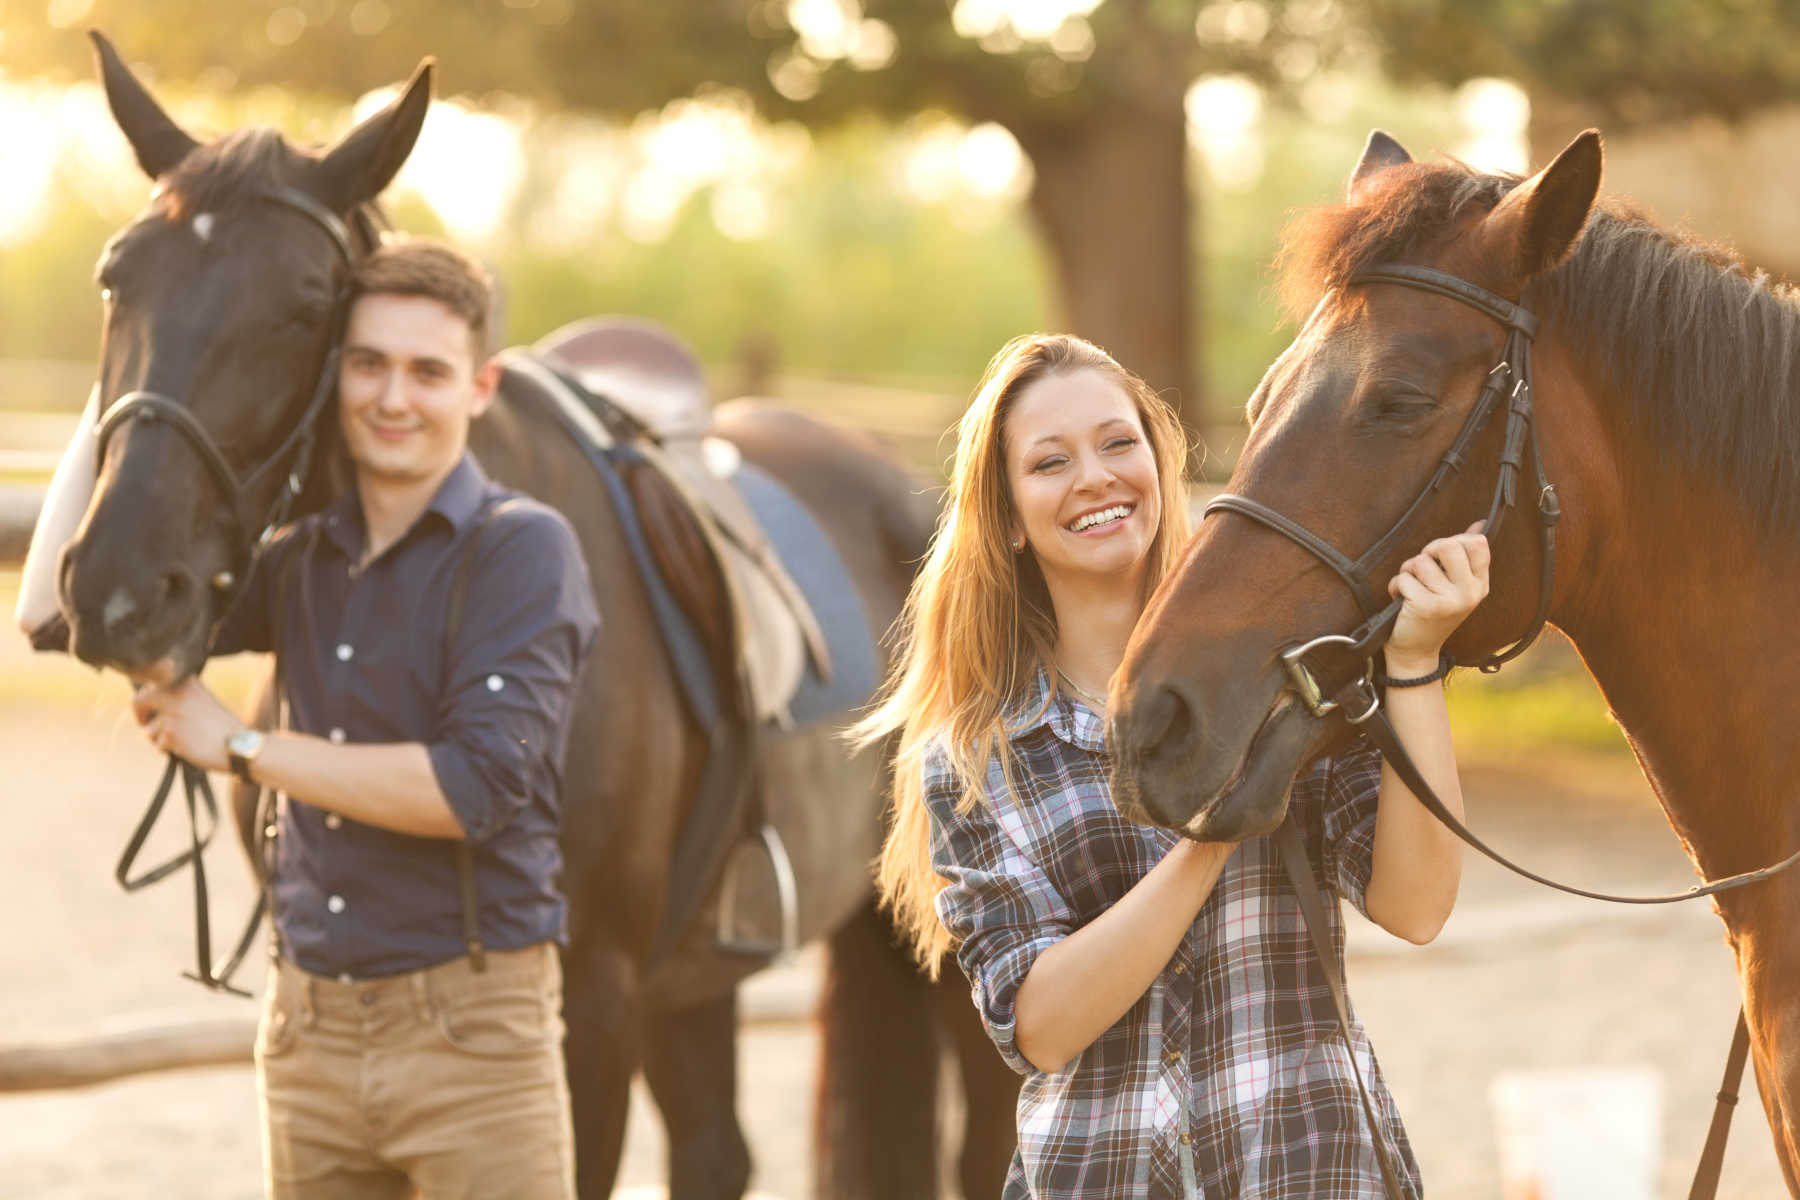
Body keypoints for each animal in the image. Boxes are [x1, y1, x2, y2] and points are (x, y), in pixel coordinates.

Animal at [56, 35, 1022, 1200]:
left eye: (306, 301)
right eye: (117, 278)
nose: (117, 588)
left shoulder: (589, 1006)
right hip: (701, 973)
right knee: (717, 1150)